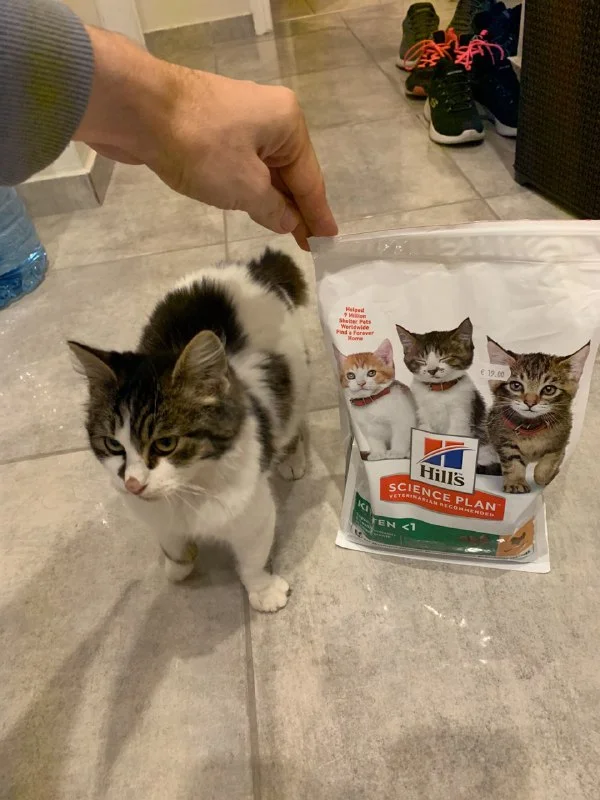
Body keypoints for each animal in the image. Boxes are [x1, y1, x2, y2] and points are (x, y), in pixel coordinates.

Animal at [69, 248, 310, 613]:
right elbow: (171, 544)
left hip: (294, 376)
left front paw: (263, 590)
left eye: (166, 443)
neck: (189, 489)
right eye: (113, 445)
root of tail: (251, 265)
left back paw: (291, 458)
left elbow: (252, 557)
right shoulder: (154, 514)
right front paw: (178, 565)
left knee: (292, 415)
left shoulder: (252, 509)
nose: (134, 484)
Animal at [485, 337, 590, 493]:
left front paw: (544, 477)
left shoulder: (561, 439)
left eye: (549, 389)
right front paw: (516, 482)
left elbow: (550, 461)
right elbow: (512, 460)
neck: (531, 427)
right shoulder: (502, 437)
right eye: (516, 385)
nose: (530, 402)